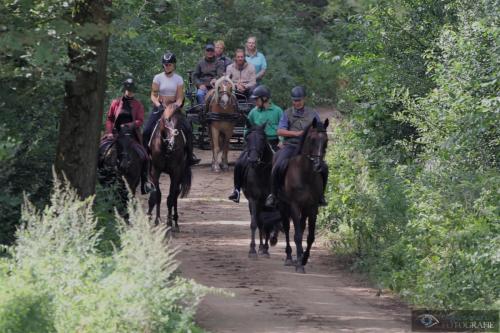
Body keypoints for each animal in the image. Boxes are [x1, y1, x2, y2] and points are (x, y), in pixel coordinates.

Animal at [239, 121, 282, 256]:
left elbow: (272, 221)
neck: (262, 172)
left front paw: (268, 245)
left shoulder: (273, 201)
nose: (253, 160)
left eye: (263, 139)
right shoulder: (254, 199)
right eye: (247, 138)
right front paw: (253, 249)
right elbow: (255, 223)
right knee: (259, 221)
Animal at [278, 117, 328, 272]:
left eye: (326, 140)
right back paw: (289, 257)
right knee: (287, 228)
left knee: (301, 225)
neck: (305, 175)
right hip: (283, 206)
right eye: (312, 139)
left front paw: (304, 259)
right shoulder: (294, 206)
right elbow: (298, 235)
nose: (318, 166)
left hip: (304, 209)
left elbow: (310, 236)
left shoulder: (312, 207)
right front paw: (299, 264)